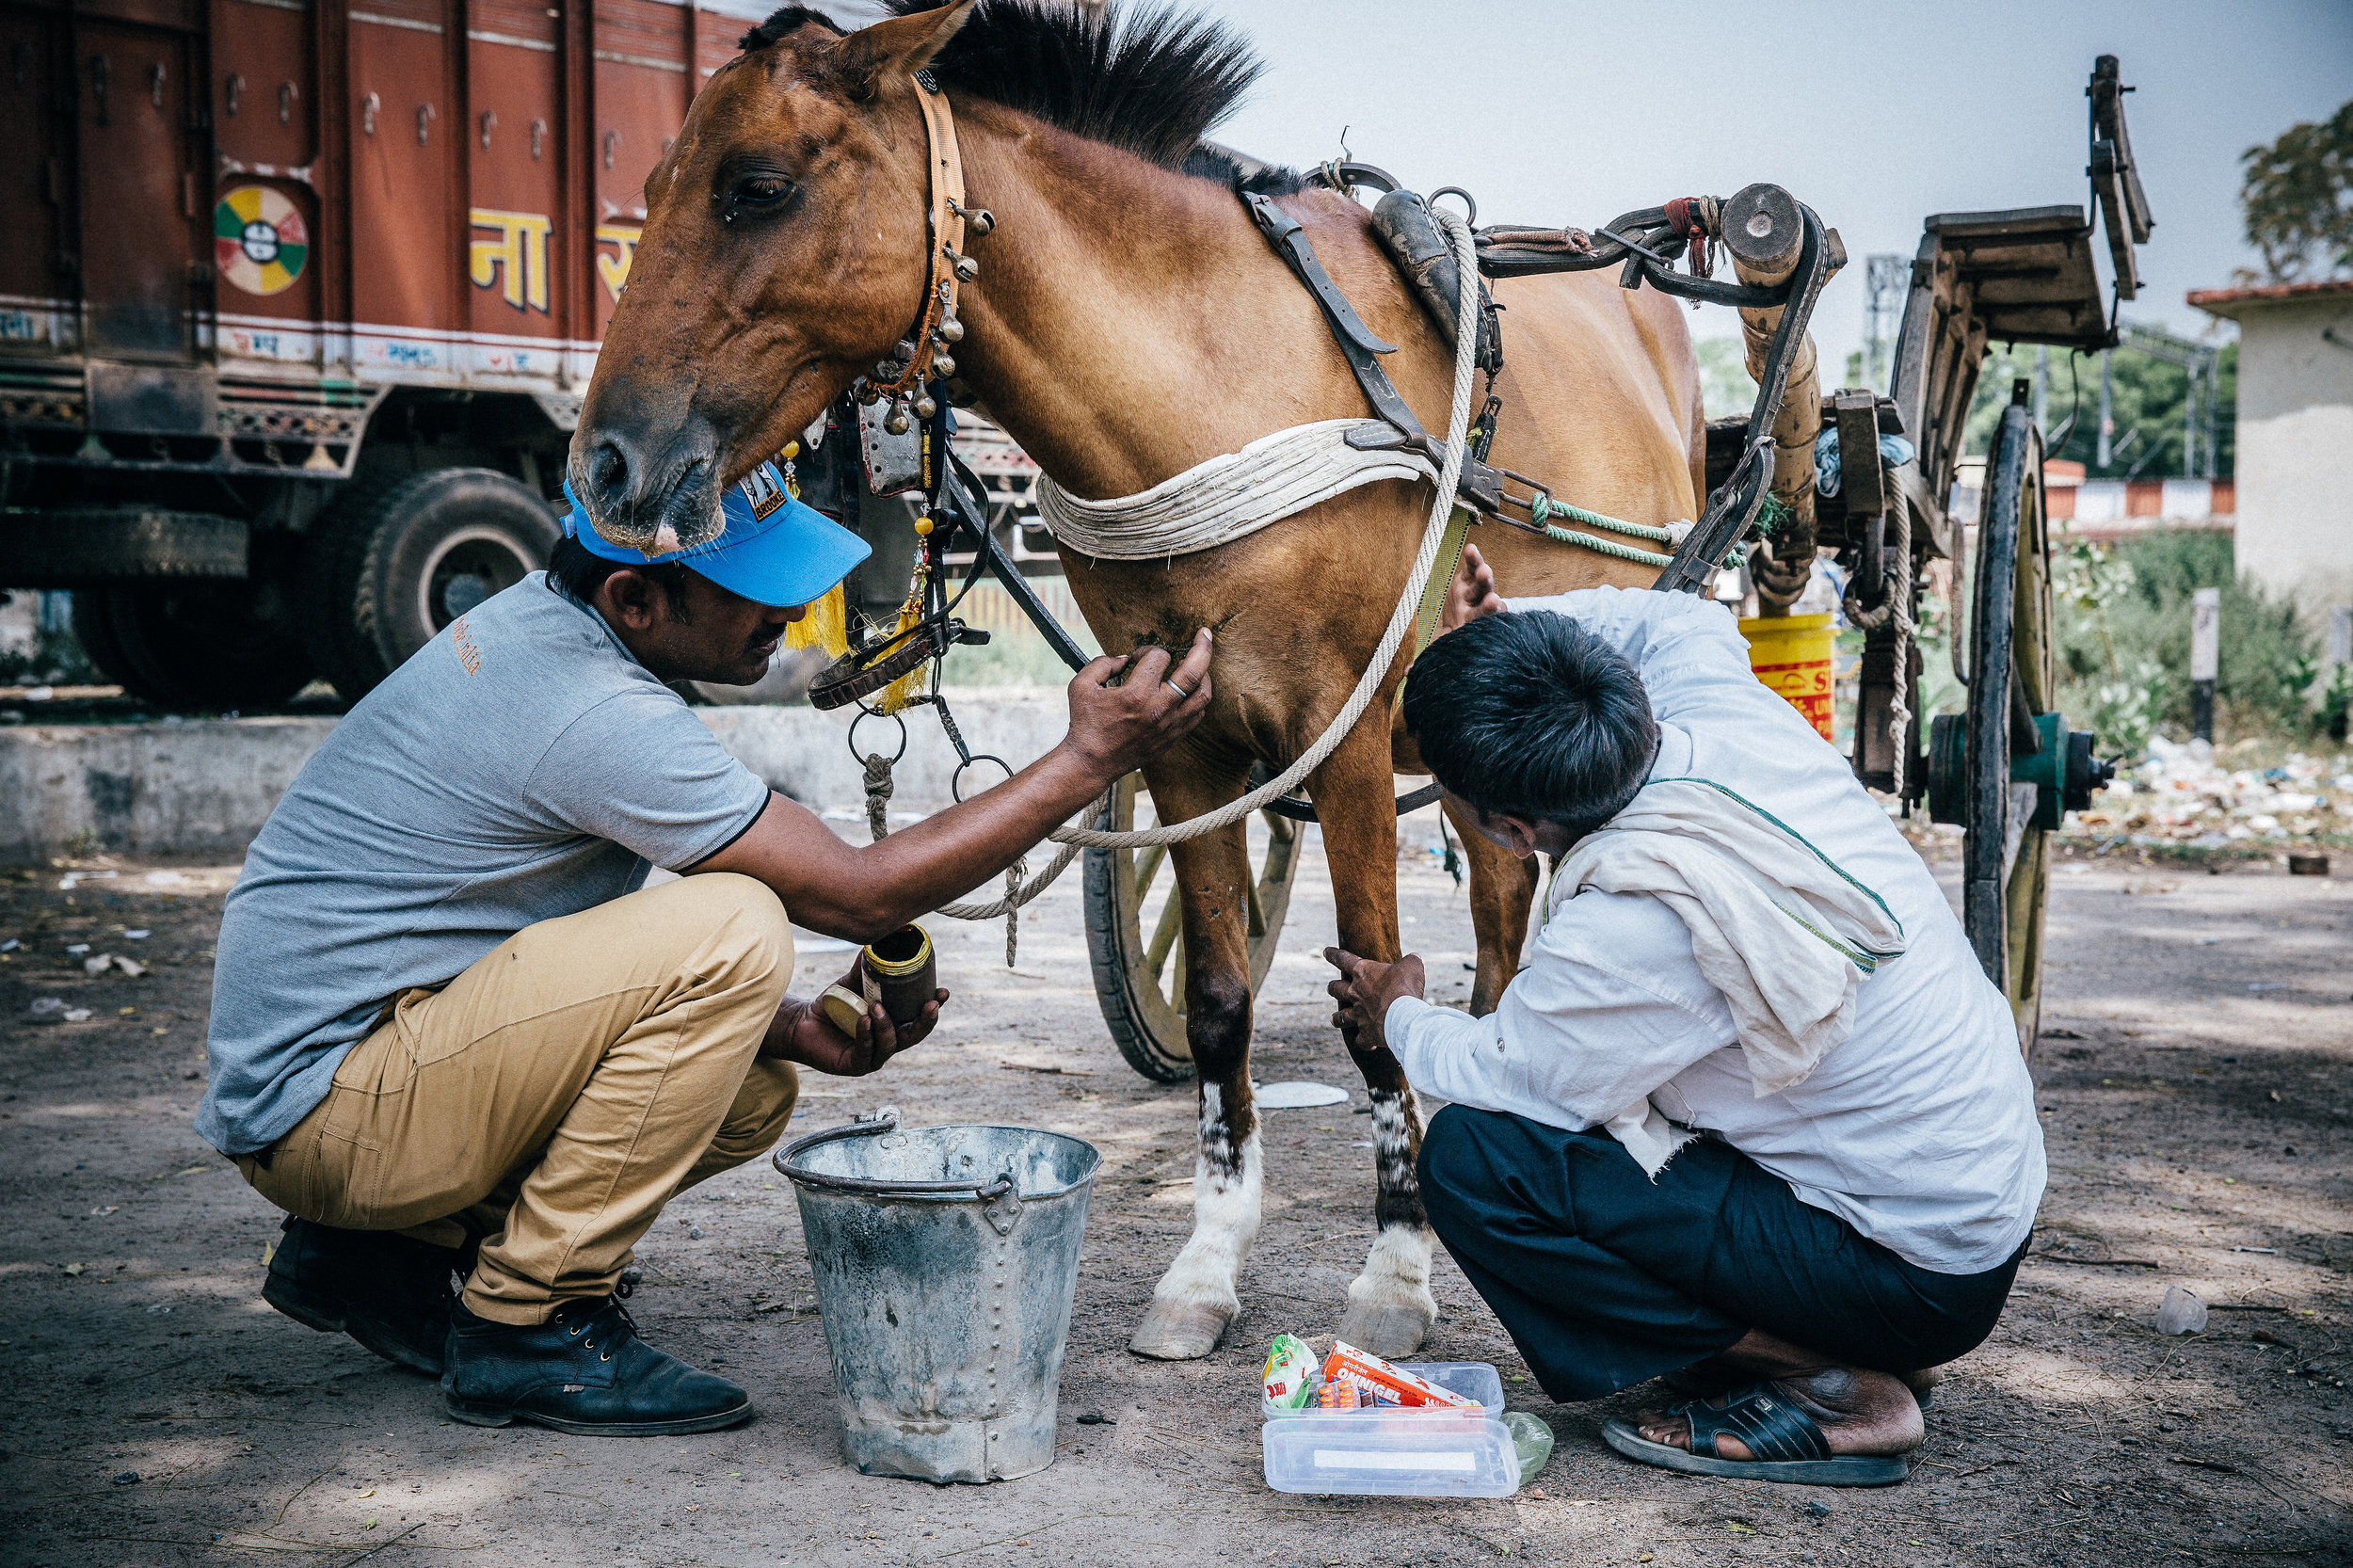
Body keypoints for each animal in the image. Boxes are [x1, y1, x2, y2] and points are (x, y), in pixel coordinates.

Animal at [579, 0, 1704, 1355]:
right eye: (650, 187)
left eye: (757, 188)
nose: (606, 464)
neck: (1216, 380)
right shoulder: (1180, 738)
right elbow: (1218, 1000)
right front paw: (1209, 1262)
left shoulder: (1351, 737)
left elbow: (1369, 996)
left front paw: (1394, 1270)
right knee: (1496, 906)